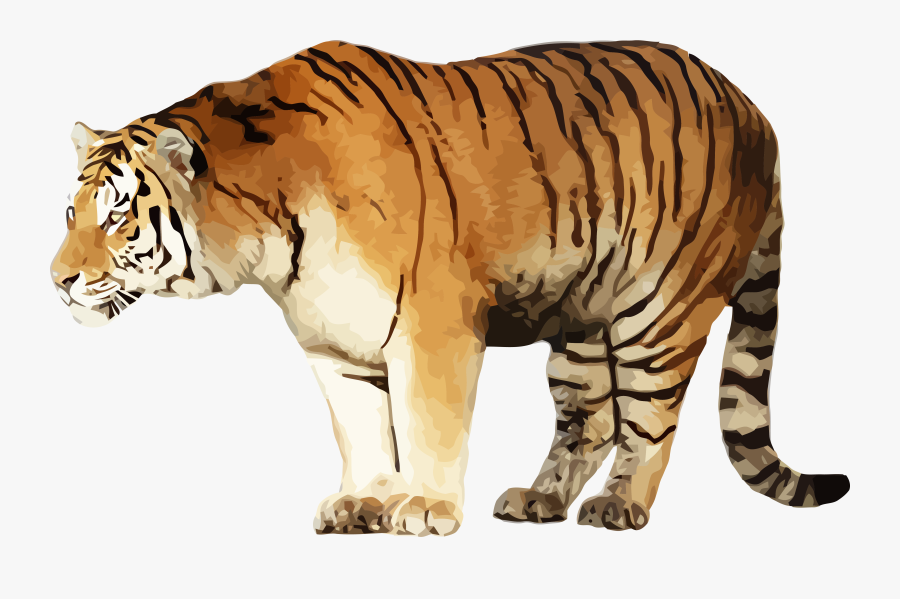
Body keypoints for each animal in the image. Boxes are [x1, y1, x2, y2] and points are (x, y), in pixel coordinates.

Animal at [51, 40, 849, 536]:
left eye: (117, 215)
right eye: (71, 212)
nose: (57, 281)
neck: (267, 230)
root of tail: (756, 111)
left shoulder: (433, 323)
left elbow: (428, 424)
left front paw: (426, 508)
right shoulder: (333, 343)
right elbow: (363, 430)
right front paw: (362, 504)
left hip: (659, 309)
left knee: (649, 425)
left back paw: (619, 506)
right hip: (581, 319)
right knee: (588, 419)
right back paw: (538, 499)